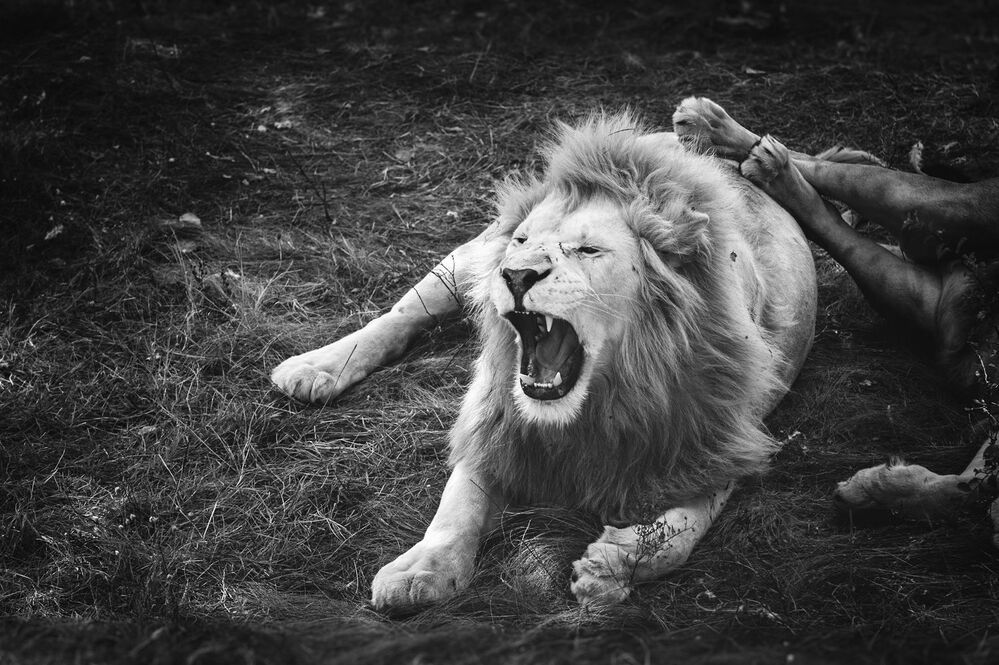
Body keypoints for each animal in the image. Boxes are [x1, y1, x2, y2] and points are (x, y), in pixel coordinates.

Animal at [272, 112, 818, 608]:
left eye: (589, 249)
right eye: (522, 242)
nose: (515, 274)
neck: (598, 399)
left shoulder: (722, 429)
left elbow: (681, 527)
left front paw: (610, 565)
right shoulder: (497, 423)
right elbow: (458, 505)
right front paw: (422, 569)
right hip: (467, 261)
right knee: (400, 313)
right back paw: (314, 369)